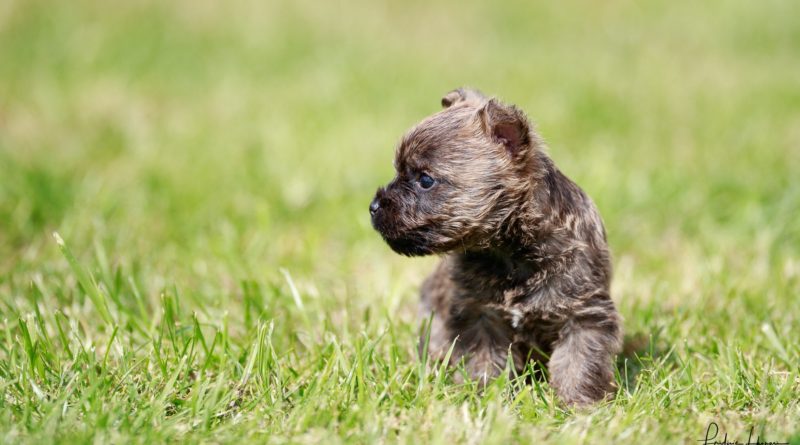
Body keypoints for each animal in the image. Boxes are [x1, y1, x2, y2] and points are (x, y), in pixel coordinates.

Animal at [370, 87, 624, 406]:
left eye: (425, 180)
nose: (373, 206)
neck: (512, 254)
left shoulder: (584, 315)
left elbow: (578, 364)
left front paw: (578, 405)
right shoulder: (479, 316)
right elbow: (486, 361)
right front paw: (486, 395)